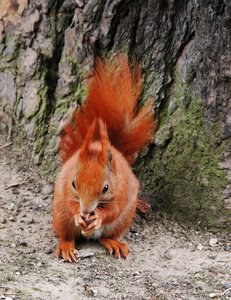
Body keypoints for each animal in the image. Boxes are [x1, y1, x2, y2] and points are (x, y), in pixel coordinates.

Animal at [52, 55, 155, 262]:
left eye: (106, 188)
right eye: (74, 183)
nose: (85, 210)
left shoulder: (122, 189)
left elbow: (112, 211)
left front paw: (98, 216)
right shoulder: (66, 188)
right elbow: (70, 203)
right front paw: (78, 214)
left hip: (123, 220)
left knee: (105, 236)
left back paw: (115, 243)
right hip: (60, 216)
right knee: (67, 235)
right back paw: (67, 246)